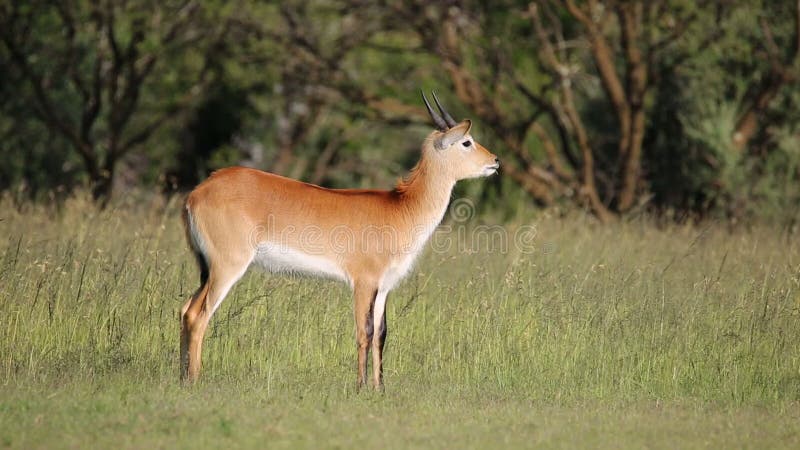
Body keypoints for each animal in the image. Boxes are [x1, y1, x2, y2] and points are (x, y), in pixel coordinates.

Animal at [180, 91, 500, 386]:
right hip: (227, 266)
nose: (496, 161)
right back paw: (194, 380)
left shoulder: (384, 286)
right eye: (467, 141)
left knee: (185, 310)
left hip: (208, 270)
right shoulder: (363, 283)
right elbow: (364, 331)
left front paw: (379, 388)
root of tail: (197, 192)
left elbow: (381, 334)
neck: (401, 208)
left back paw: (182, 376)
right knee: (198, 315)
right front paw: (360, 387)